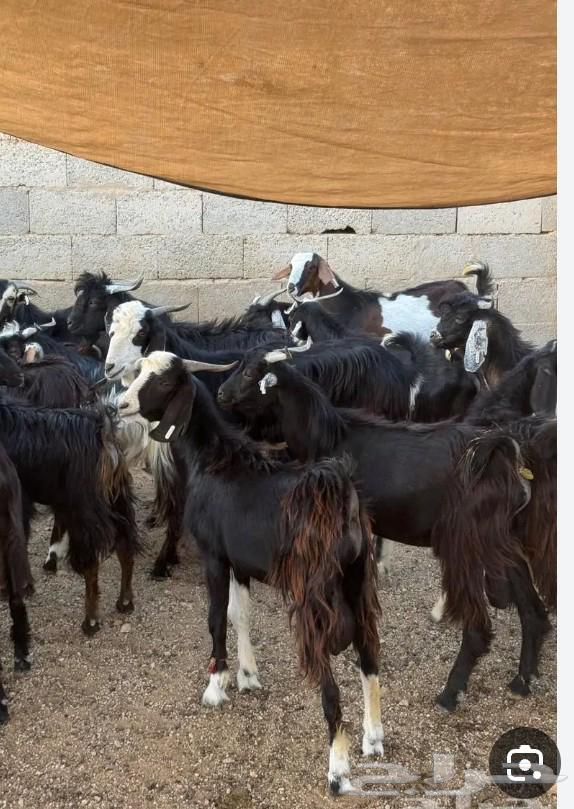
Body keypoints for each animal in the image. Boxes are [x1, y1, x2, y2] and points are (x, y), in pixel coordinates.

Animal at [0, 396, 140, 633]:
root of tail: (103, 432)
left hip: (83, 509)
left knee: (92, 563)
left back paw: (91, 621)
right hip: (116, 501)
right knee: (125, 548)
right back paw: (125, 602)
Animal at [118, 351, 383, 794]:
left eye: (163, 381)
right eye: (139, 371)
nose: (120, 404)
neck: (212, 460)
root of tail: (340, 496)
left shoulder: (213, 555)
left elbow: (214, 618)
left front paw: (216, 685)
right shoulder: (238, 562)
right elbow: (240, 614)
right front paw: (247, 676)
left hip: (315, 598)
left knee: (330, 686)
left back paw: (338, 772)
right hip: (357, 582)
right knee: (369, 657)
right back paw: (374, 739)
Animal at [218, 356, 555, 709]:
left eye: (250, 373)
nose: (221, 393)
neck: (329, 436)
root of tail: (508, 457)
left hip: (469, 543)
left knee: (478, 628)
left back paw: (450, 694)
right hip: (502, 540)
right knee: (534, 612)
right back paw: (522, 681)